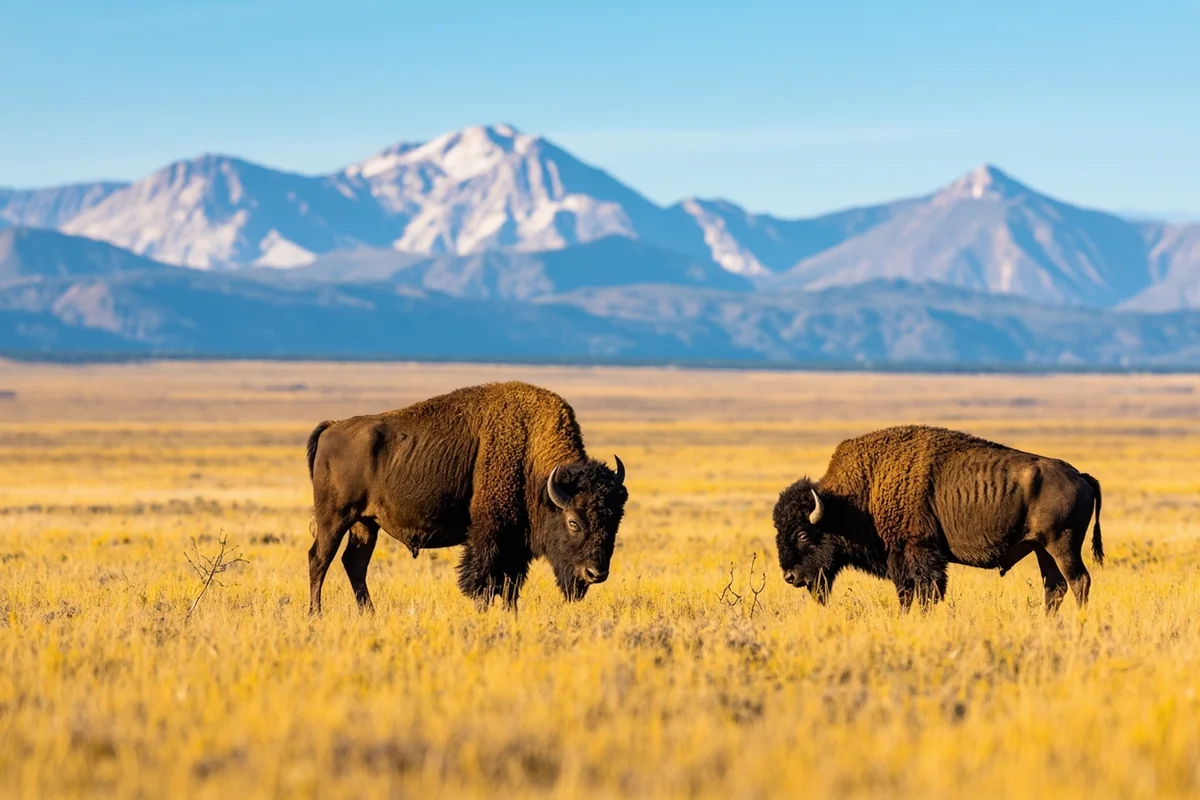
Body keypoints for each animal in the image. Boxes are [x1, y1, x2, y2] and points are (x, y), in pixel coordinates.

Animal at [306, 381, 628, 614]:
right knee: (319, 559)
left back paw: (368, 613)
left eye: (615, 521)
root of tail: (332, 427)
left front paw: (510, 615)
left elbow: (510, 587)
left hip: (366, 523)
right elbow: (483, 582)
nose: (595, 573)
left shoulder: (516, 544)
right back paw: (315, 614)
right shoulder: (489, 535)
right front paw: (483, 613)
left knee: (354, 563)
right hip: (335, 518)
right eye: (573, 522)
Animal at [774, 425, 1102, 612]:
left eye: (802, 534)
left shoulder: (917, 551)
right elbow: (908, 593)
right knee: (1055, 588)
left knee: (1079, 581)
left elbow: (924, 591)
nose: (790, 577)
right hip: (1041, 549)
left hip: (1062, 545)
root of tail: (1081, 476)